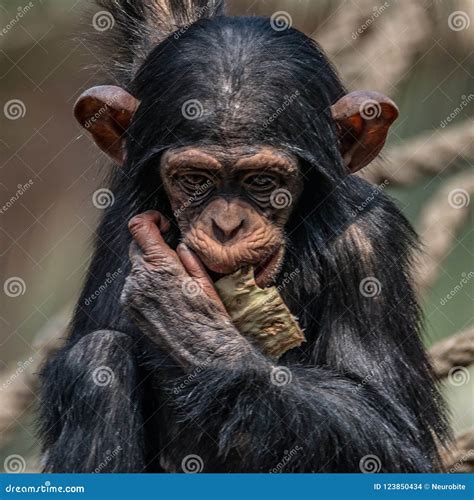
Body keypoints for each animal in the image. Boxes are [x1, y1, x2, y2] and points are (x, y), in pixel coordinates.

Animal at [38, 0, 448, 470]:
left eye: (262, 182)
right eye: (195, 180)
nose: (227, 225)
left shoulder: (369, 243)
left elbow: (394, 437)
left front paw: (189, 322)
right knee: (97, 361)